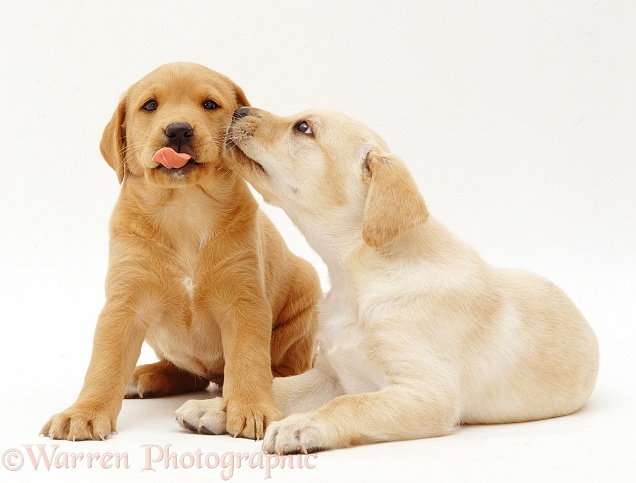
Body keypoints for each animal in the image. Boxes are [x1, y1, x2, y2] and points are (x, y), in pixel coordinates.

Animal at [37, 64, 320, 442]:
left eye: (210, 104)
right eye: (150, 105)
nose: (178, 130)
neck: (184, 208)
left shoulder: (244, 301)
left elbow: (247, 360)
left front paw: (251, 407)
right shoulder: (123, 305)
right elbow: (104, 364)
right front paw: (83, 412)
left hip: (305, 301)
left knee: (278, 371)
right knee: (190, 373)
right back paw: (146, 376)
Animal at [183, 105, 596, 454]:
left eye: (303, 128)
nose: (238, 110)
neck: (354, 280)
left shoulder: (428, 393)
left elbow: (351, 404)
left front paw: (302, 425)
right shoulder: (331, 374)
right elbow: (277, 386)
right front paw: (222, 408)